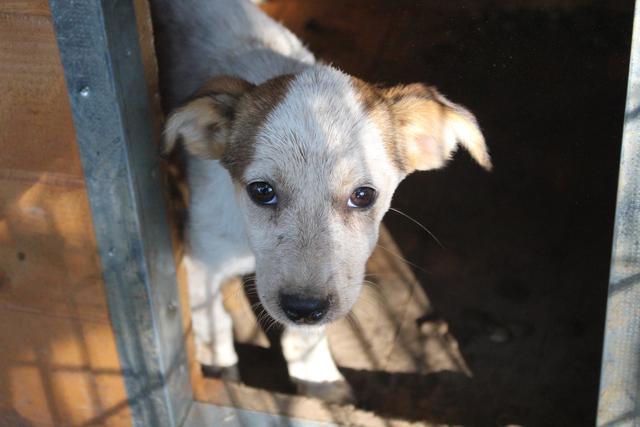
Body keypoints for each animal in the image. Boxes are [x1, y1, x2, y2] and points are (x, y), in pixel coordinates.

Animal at [151, 0, 490, 402]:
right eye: (261, 191)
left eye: (363, 196)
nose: (302, 309)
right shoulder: (200, 261)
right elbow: (211, 321)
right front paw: (218, 373)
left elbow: (308, 337)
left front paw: (317, 378)